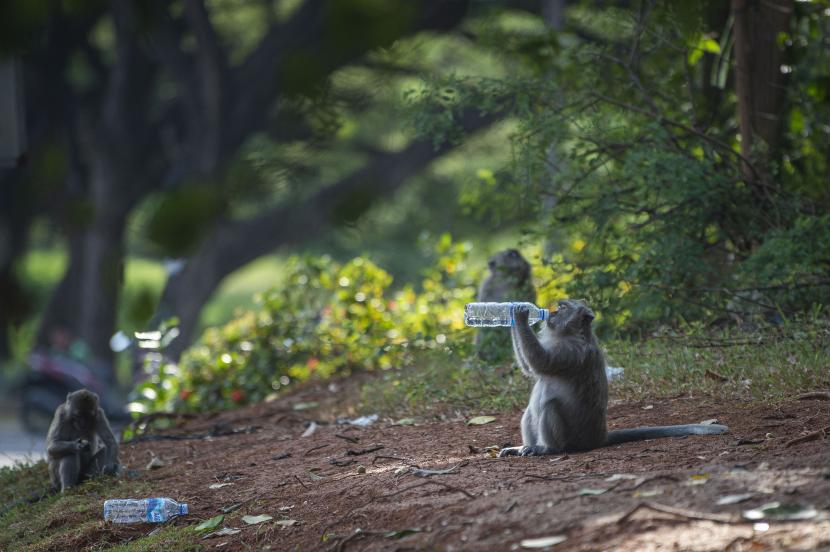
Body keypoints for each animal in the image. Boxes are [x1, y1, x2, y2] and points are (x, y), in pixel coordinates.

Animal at [500, 302, 728, 458]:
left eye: (563, 307)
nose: (552, 313)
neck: (569, 334)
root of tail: (599, 436)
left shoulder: (571, 352)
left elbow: (540, 362)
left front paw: (519, 313)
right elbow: (529, 368)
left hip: (575, 437)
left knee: (550, 405)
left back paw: (547, 448)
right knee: (531, 411)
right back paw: (522, 448)